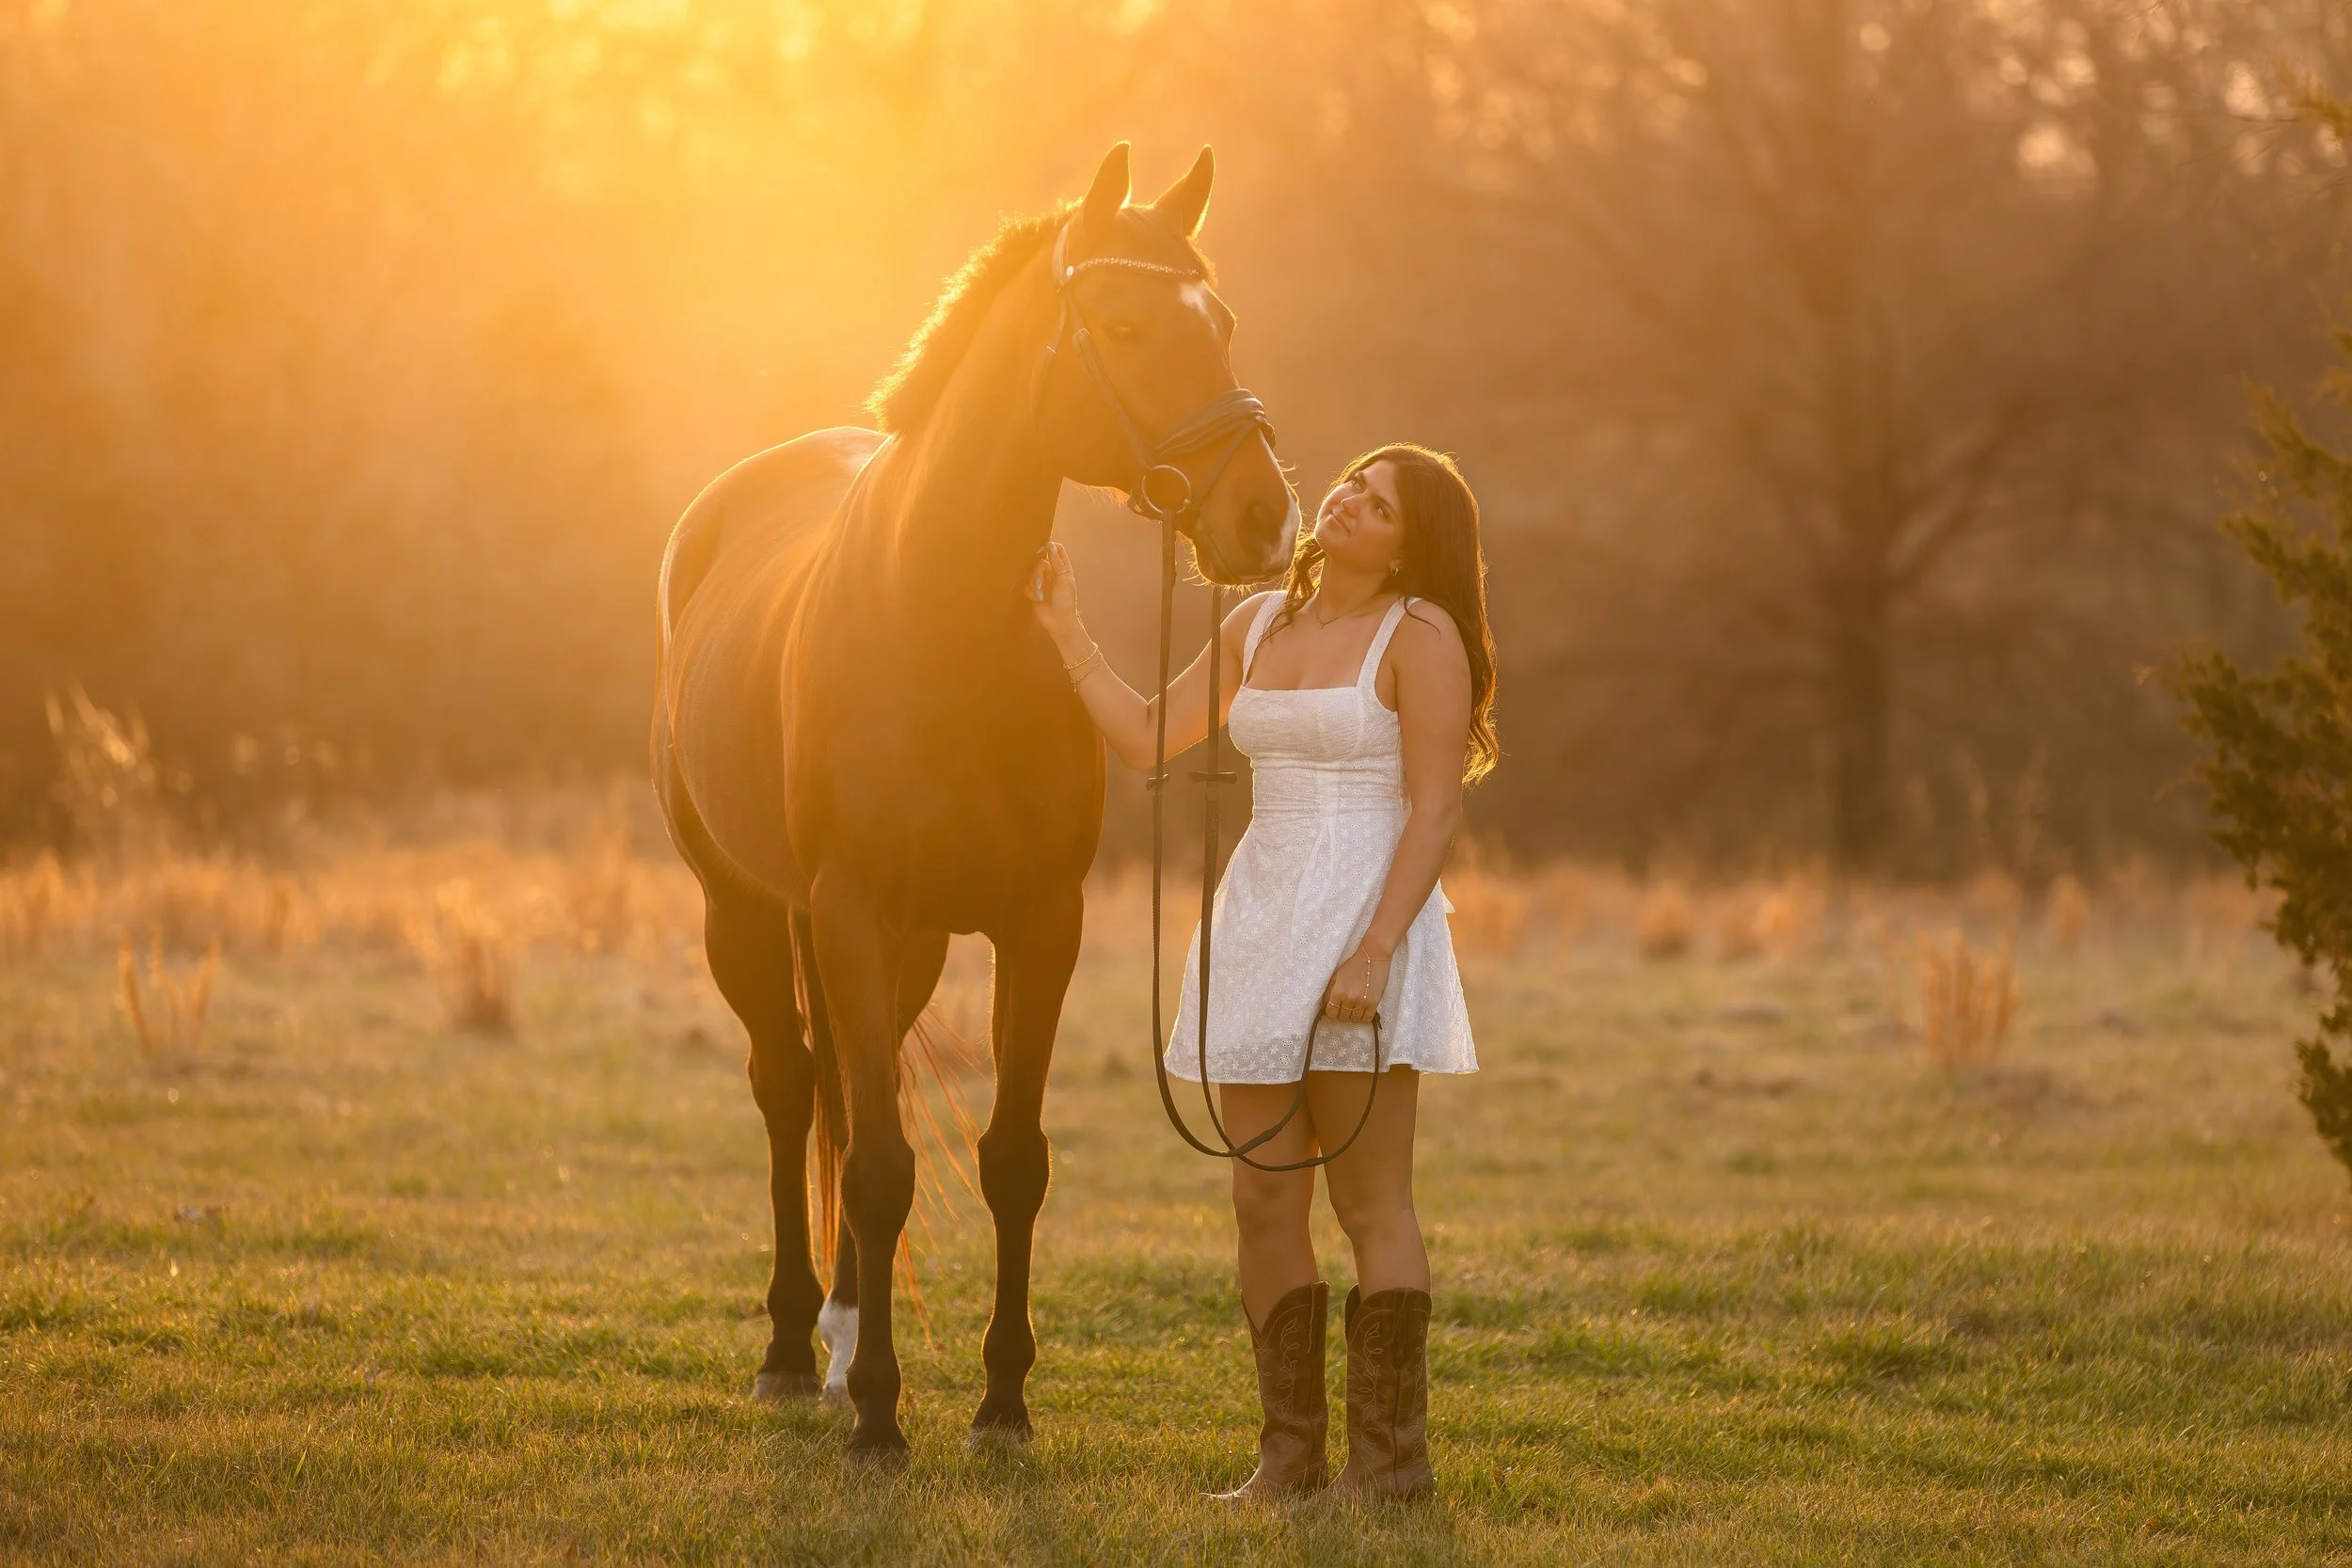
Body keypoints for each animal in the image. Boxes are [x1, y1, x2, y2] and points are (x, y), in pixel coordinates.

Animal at [651, 143, 1299, 1459]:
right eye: (1123, 324)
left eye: (1219, 322)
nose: (1262, 516)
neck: (939, 618)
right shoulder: (847, 910)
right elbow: (882, 1166)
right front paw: (879, 1417)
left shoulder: (1038, 920)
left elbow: (1009, 1159)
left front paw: (1000, 1401)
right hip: (749, 913)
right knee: (791, 1091)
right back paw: (796, 1349)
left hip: (905, 947)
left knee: (850, 1089)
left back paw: (843, 1332)